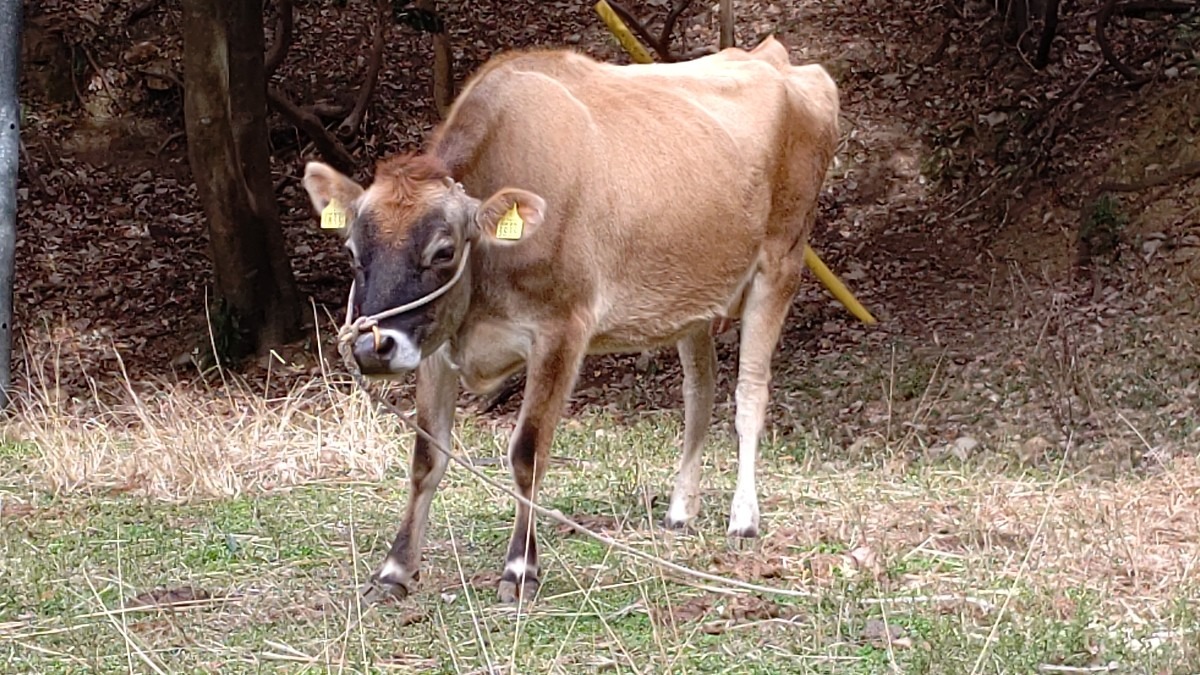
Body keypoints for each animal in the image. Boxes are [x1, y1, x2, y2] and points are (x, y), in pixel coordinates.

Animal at [304, 34, 840, 600]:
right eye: (353, 250)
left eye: (443, 251)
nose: (371, 347)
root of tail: (772, 55)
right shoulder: (436, 343)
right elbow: (426, 457)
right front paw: (395, 569)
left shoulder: (561, 331)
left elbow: (528, 452)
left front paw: (520, 569)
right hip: (693, 297)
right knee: (700, 392)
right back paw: (680, 509)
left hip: (781, 264)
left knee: (749, 394)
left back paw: (744, 516)